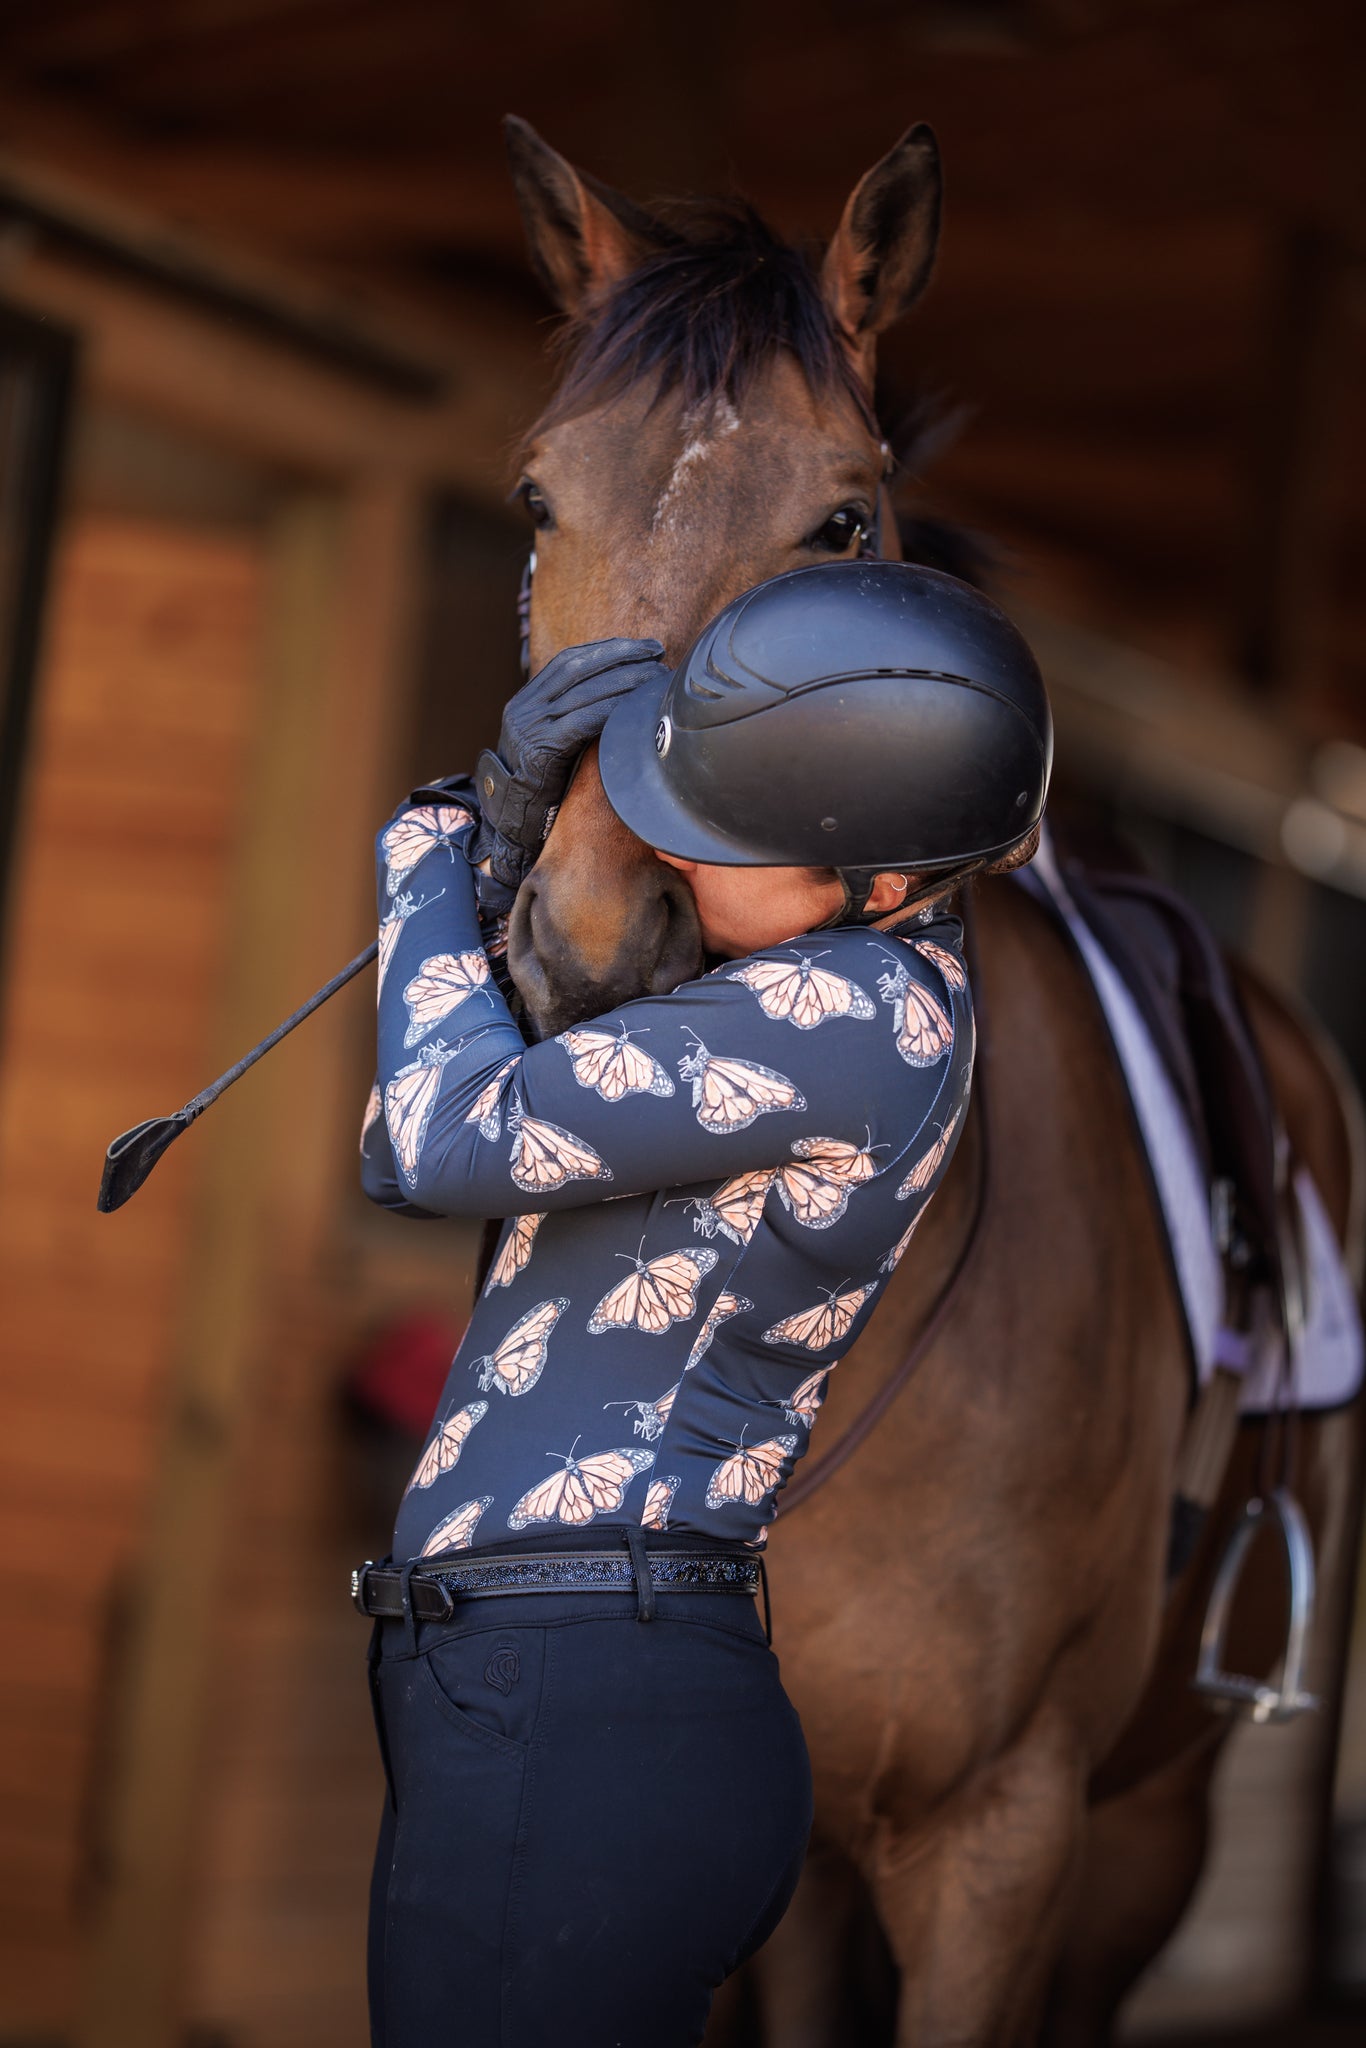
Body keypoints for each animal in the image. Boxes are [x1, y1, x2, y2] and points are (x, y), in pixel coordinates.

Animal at [489, 119, 1359, 2039]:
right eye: (536, 502)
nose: (591, 937)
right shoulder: (773, 1855)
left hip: (1148, 1833)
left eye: (839, 523)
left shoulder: (999, 1842)